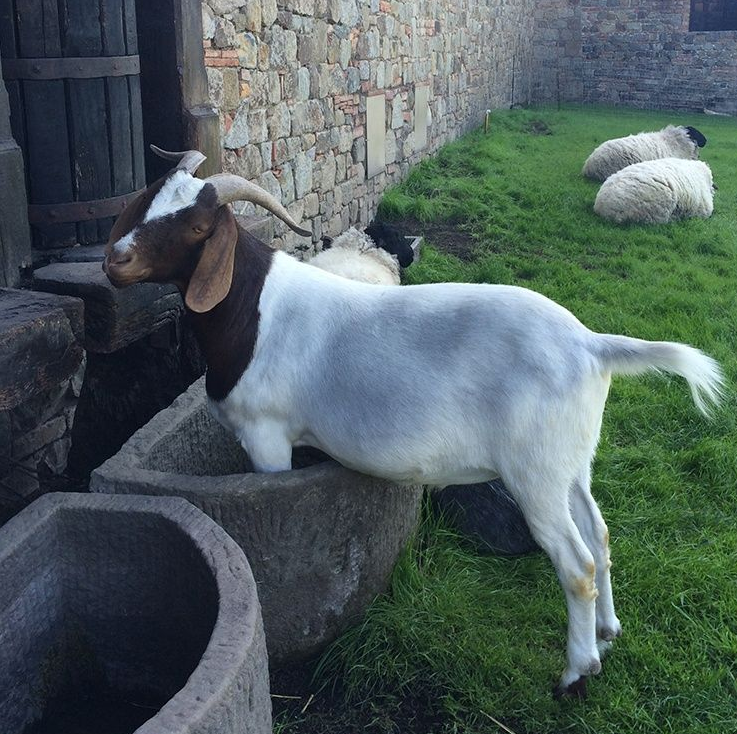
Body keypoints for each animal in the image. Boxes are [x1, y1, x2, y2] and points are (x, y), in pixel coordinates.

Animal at [103, 146, 724, 699]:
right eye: (149, 201)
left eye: (197, 226)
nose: (116, 262)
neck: (254, 312)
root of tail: (592, 345)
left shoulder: (266, 437)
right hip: (570, 460)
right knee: (600, 531)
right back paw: (608, 632)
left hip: (535, 473)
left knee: (577, 564)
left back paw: (576, 672)